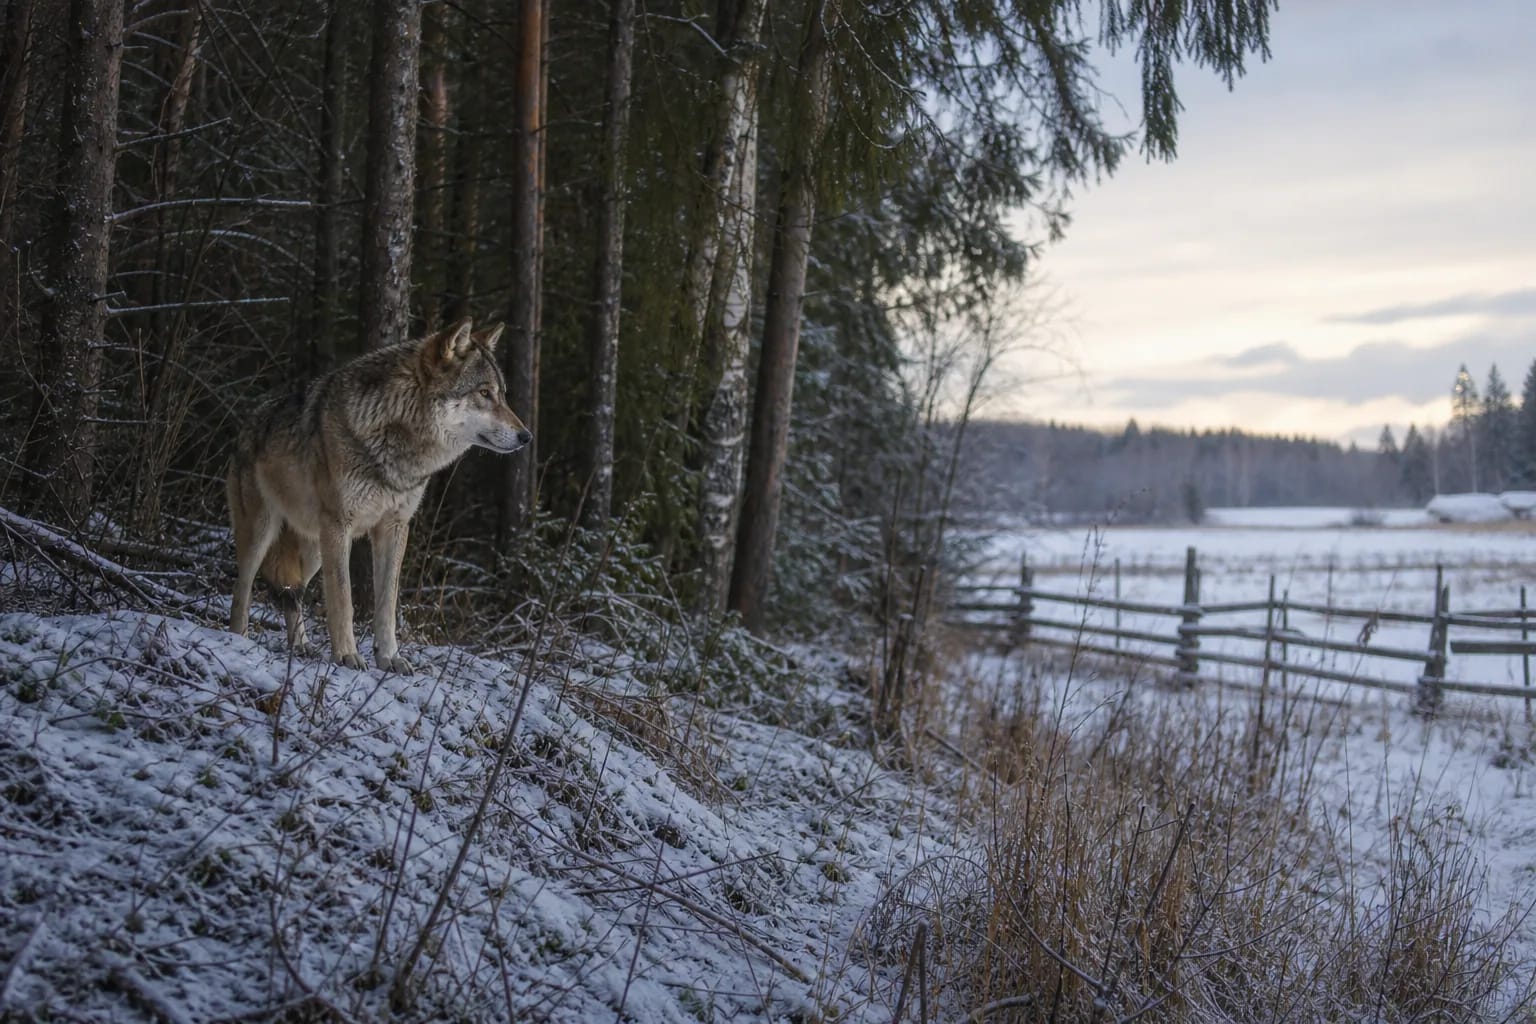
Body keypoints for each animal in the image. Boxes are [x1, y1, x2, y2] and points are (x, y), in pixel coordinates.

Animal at [226, 318, 530, 672]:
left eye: (503, 395)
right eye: (484, 393)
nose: (527, 436)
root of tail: (246, 422)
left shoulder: (394, 527)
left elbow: (387, 605)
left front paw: (389, 658)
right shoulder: (339, 526)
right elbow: (343, 599)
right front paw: (346, 655)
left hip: (313, 549)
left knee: (294, 592)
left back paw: (300, 645)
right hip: (261, 534)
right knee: (243, 587)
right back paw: (238, 639)